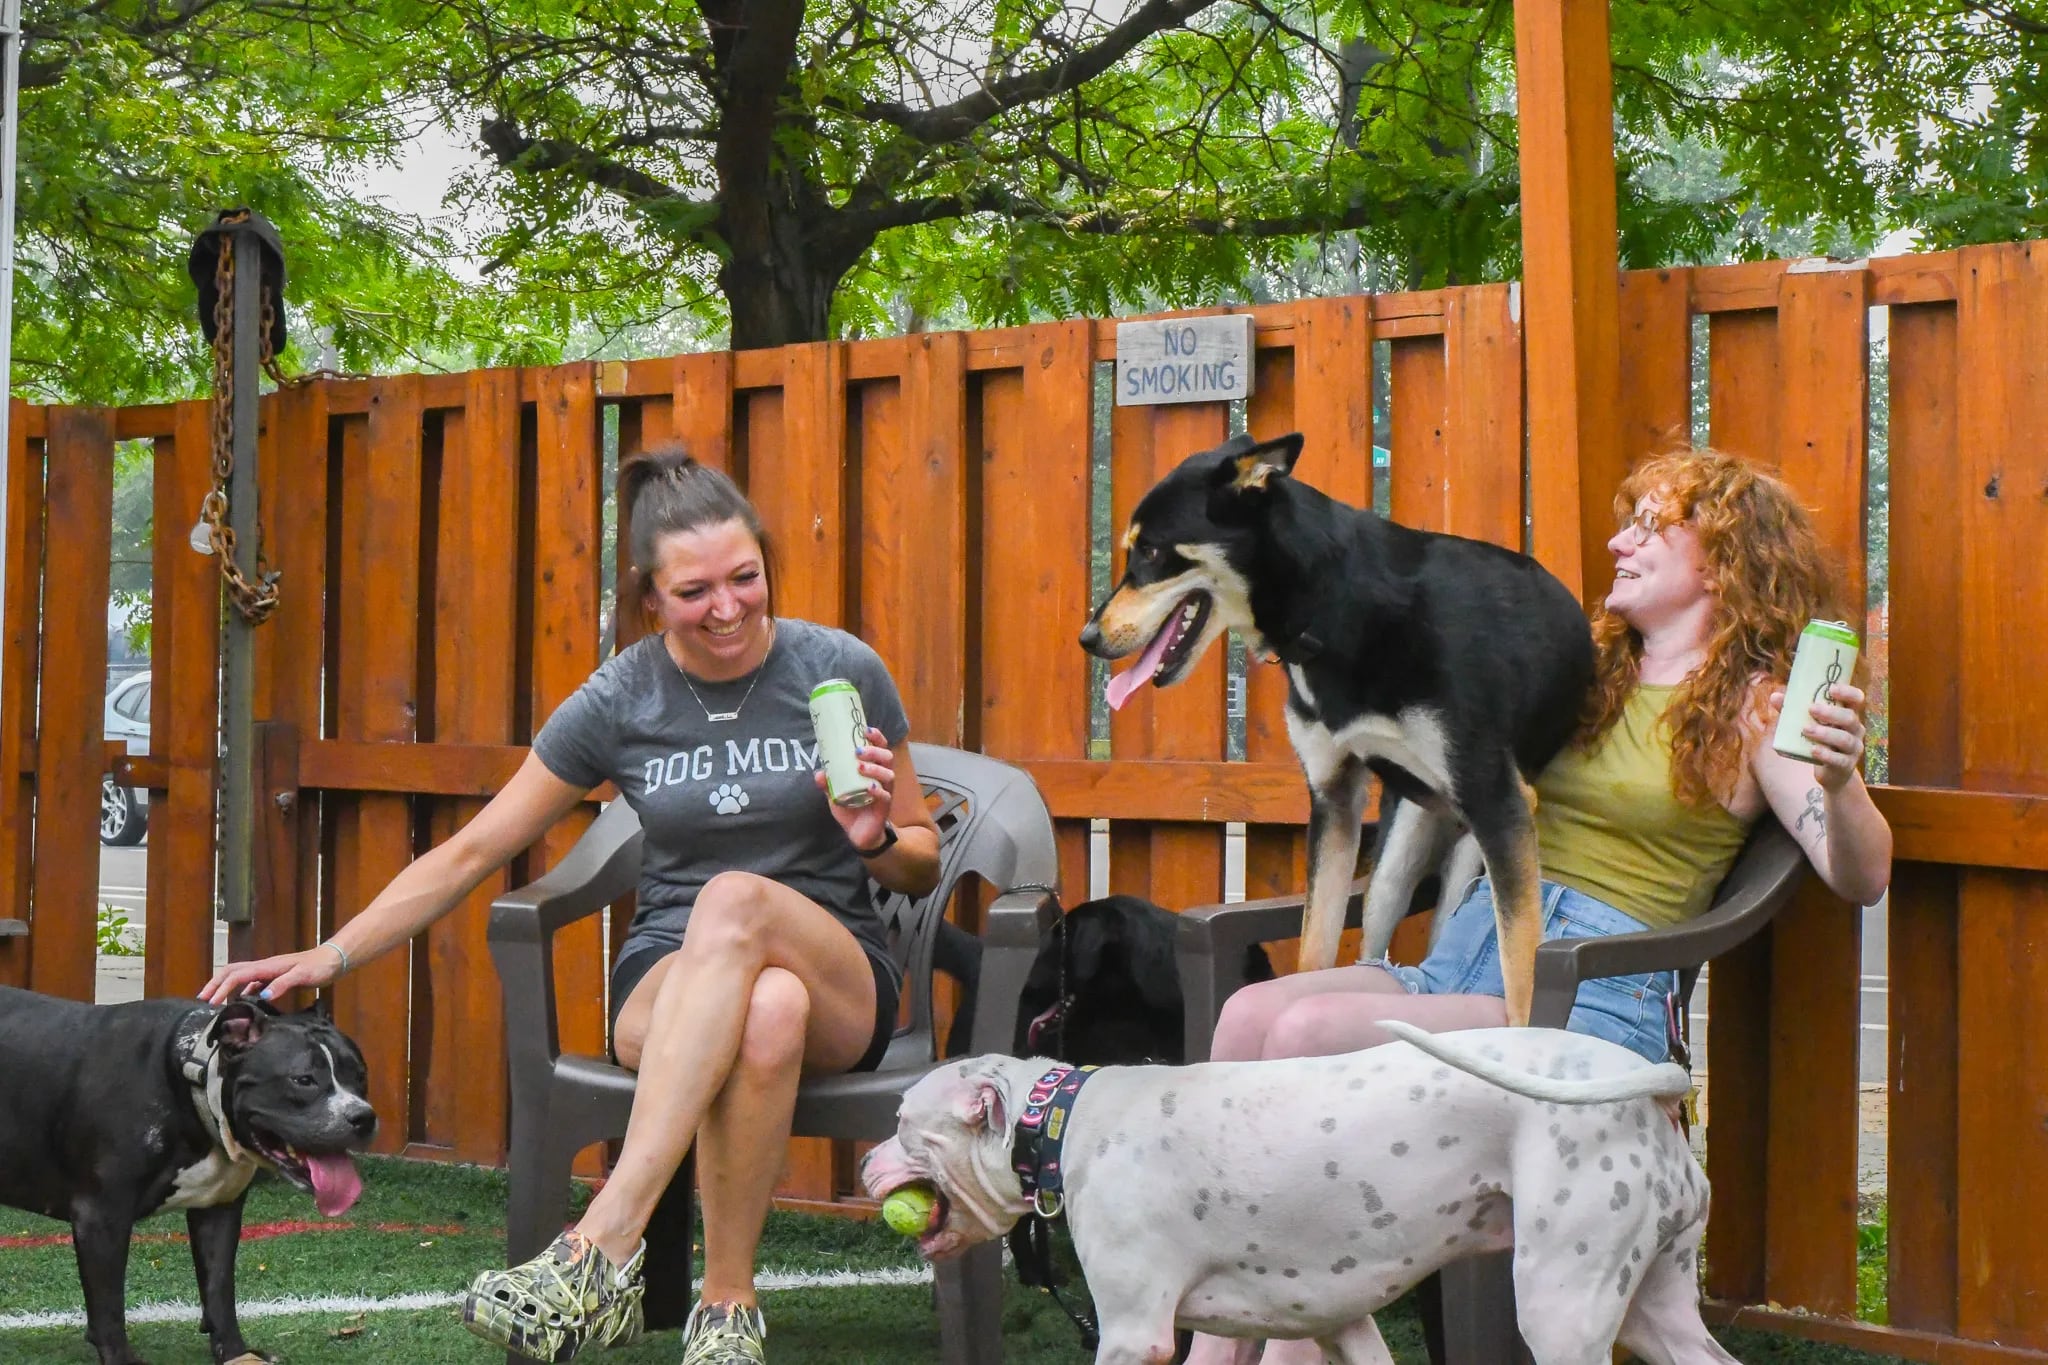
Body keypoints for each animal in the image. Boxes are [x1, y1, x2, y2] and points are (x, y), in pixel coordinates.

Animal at [1, 986, 380, 1358]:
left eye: (361, 1075)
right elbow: (109, 1308)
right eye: (303, 1080)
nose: (363, 1116)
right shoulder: (101, 1217)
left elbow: (219, 1288)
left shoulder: (218, 1211)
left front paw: (234, 1352)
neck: (190, 1082)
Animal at [856, 1023, 1736, 1365]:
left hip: (1561, 1311)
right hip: (1654, 1310)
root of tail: (1651, 1084)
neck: (1066, 1120)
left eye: (902, 1124)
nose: (864, 1162)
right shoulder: (1342, 1324)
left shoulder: (1135, 1334)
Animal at [1081, 435, 1589, 1023]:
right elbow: (1314, 949)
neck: (1335, 609)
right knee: (1374, 944)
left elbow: (1521, 974)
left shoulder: (1499, 804)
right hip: (1396, 861)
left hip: (1474, 852)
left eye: (1151, 552)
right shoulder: (1333, 796)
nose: (1088, 638)